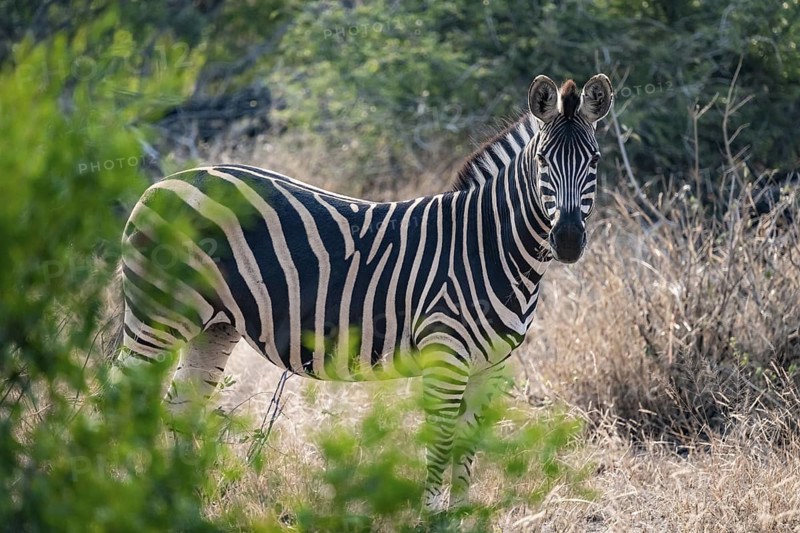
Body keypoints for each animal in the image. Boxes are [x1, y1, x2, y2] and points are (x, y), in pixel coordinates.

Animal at [117, 74, 613, 510]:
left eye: (594, 161)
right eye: (543, 161)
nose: (569, 241)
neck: (488, 245)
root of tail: (164, 181)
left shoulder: (489, 368)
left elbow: (466, 456)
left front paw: (461, 517)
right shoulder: (445, 357)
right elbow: (440, 449)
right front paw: (431, 519)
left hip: (213, 326)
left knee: (179, 409)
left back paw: (175, 503)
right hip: (156, 317)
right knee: (120, 400)